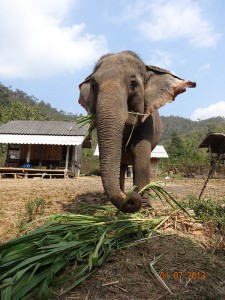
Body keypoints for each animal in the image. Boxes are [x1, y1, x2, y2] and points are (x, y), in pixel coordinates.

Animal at [78, 51, 196, 213]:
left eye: (133, 83)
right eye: (94, 85)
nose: (131, 197)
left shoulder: (147, 122)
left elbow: (141, 156)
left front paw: (145, 208)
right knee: (122, 164)